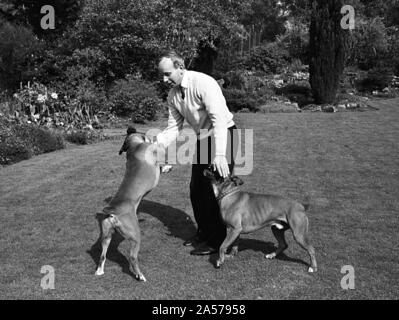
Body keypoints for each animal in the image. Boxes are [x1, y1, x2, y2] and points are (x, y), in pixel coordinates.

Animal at [95, 126, 170, 282]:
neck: (134, 146)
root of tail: (113, 212)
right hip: (135, 236)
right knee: (132, 257)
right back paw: (139, 275)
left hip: (106, 236)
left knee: (103, 255)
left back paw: (100, 271)